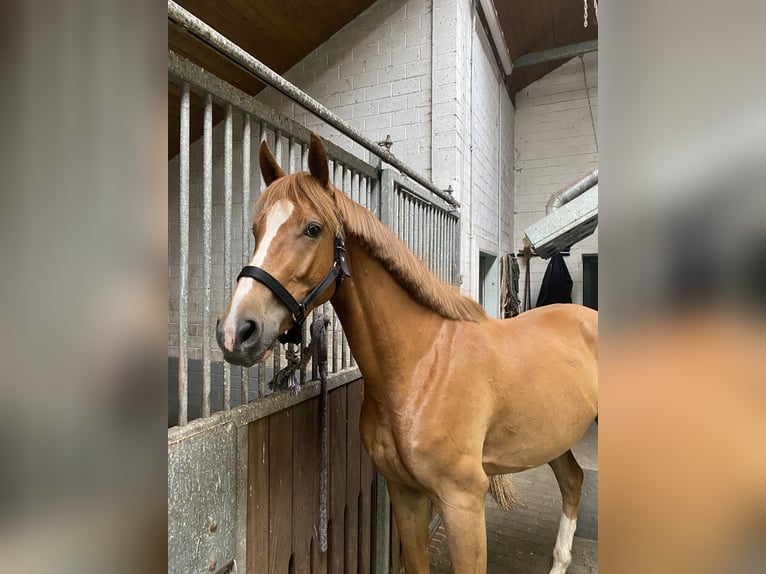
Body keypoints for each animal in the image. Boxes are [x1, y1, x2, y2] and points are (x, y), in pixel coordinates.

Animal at [216, 134, 600, 572]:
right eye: (256, 229)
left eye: (313, 228)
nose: (236, 331)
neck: (420, 369)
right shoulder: (404, 494)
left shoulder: (464, 503)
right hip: (554, 436)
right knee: (573, 481)